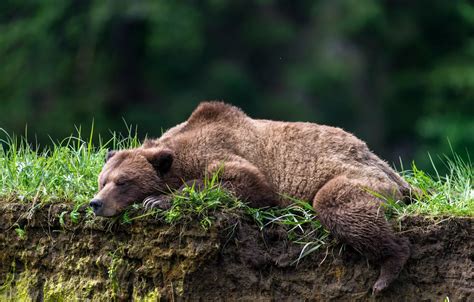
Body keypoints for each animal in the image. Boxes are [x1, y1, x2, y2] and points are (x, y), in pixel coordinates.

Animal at [90, 101, 412, 292]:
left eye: (122, 182)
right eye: (102, 180)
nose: (96, 203)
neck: (180, 156)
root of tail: (376, 157)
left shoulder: (229, 154)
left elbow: (246, 183)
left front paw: (158, 199)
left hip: (358, 175)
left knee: (337, 203)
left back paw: (387, 270)